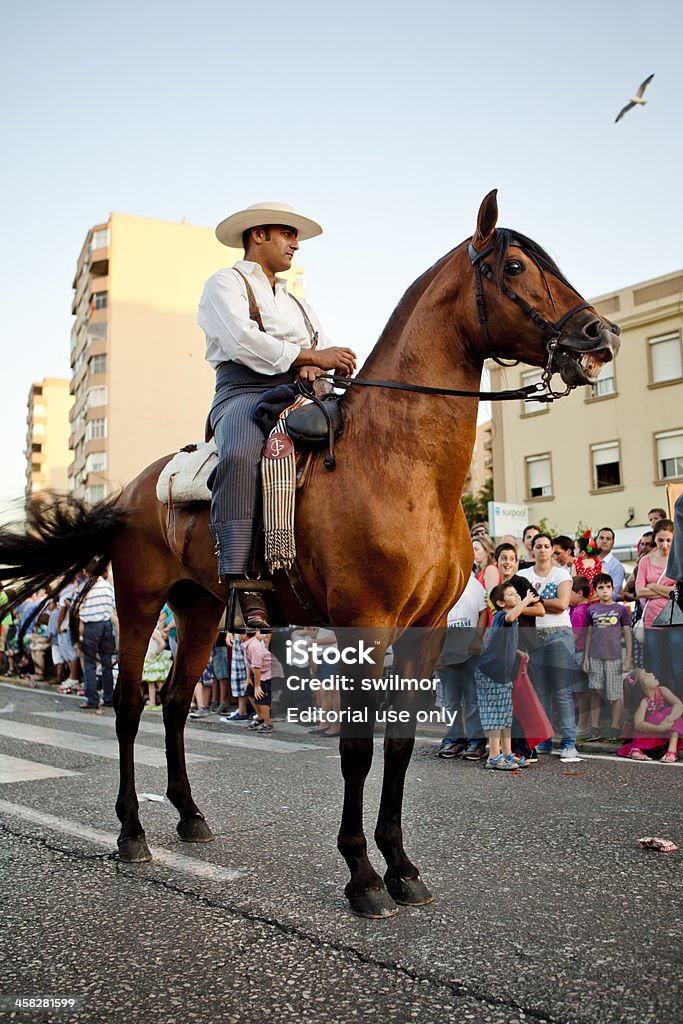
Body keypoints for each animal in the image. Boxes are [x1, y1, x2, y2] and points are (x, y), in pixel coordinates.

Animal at [0, 192, 618, 921]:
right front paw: (362, 875)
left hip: (201, 609)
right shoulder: (364, 625)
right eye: (516, 265)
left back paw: (189, 815)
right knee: (128, 705)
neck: (399, 466)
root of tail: (126, 493)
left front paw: (401, 867)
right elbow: (356, 750)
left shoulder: (424, 632)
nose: (599, 335)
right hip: (140, 601)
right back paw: (131, 832)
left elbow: (398, 746)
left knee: (175, 702)